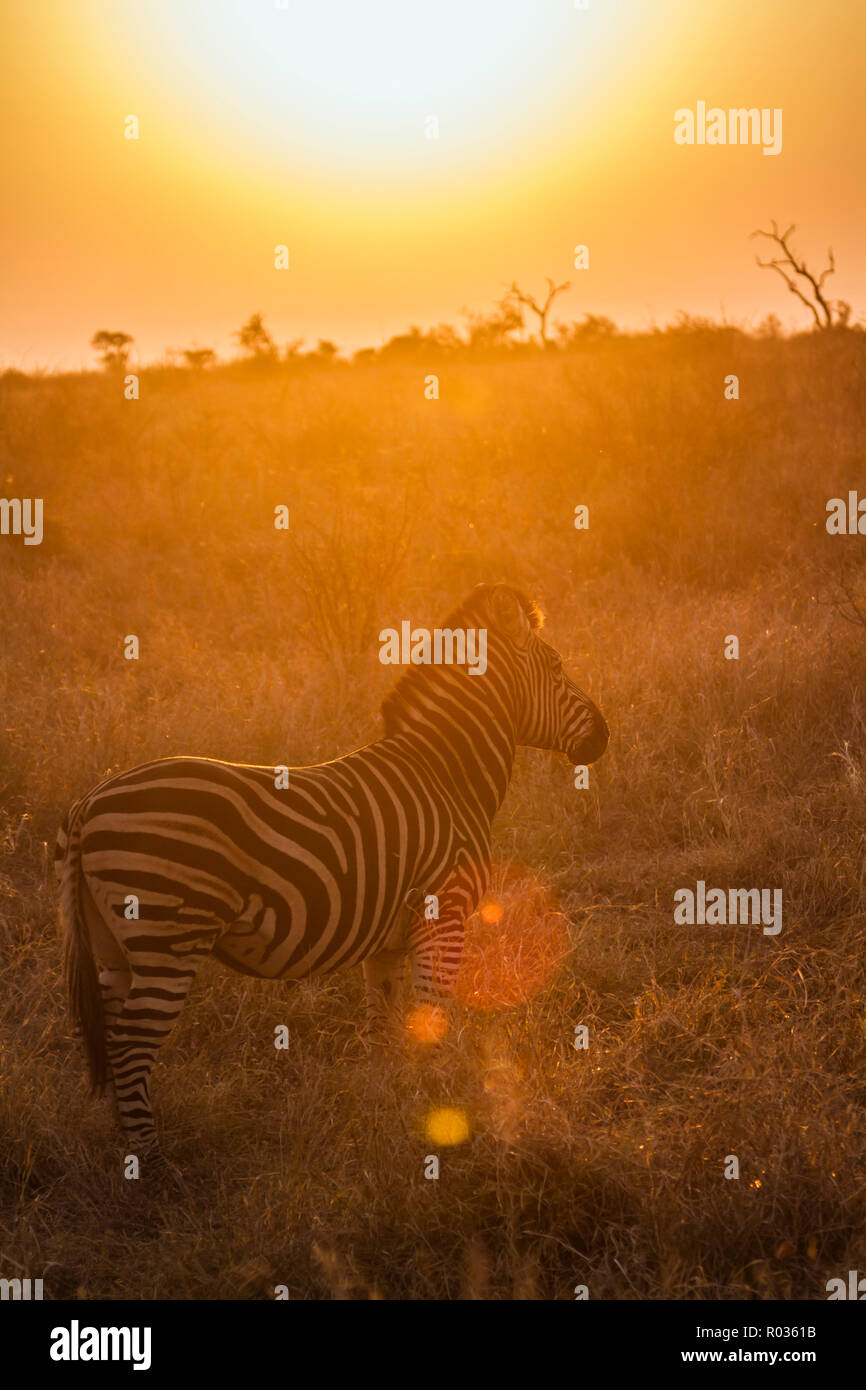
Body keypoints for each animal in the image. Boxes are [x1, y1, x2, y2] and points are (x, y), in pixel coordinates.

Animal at [56, 583, 609, 1159]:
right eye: (557, 664)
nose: (605, 736)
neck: (446, 773)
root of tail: (89, 803)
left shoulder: (390, 941)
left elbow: (389, 1025)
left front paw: (398, 1108)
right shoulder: (445, 916)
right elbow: (431, 1019)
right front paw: (439, 1108)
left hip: (112, 947)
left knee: (113, 1039)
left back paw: (125, 1146)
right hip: (167, 938)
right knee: (131, 1047)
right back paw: (149, 1160)